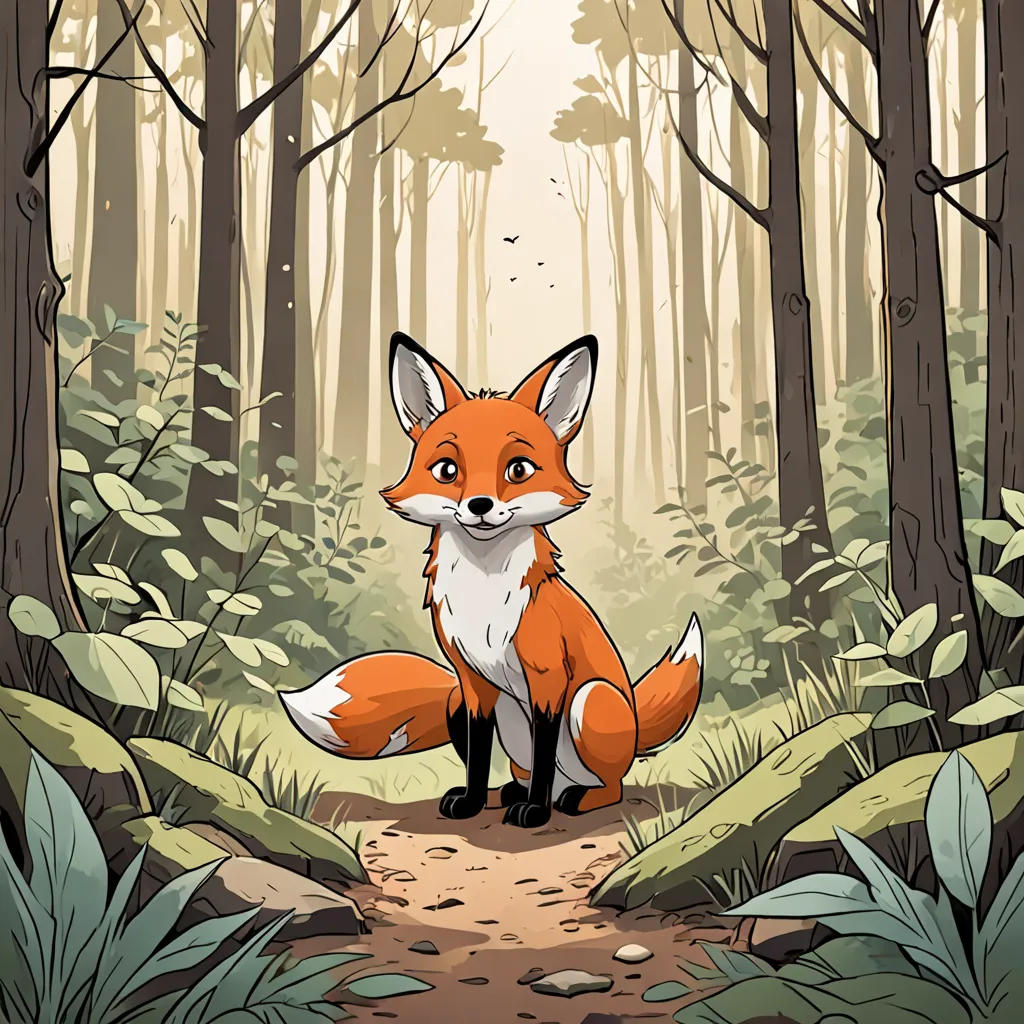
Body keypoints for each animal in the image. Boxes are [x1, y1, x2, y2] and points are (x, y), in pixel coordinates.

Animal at [281, 332, 703, 828]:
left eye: (518, 469)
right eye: (447, 470)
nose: (480, 505)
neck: (482, 598)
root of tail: (636, 729)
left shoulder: (548, 680)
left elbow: (543, 753)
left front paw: (535, 812)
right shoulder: (472, 683)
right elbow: (479, 755)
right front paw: (471, 801)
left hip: (590, 700)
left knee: (607, 786)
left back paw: (571, 799)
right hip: (477, 707)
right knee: (525, 770)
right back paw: (508, 793)